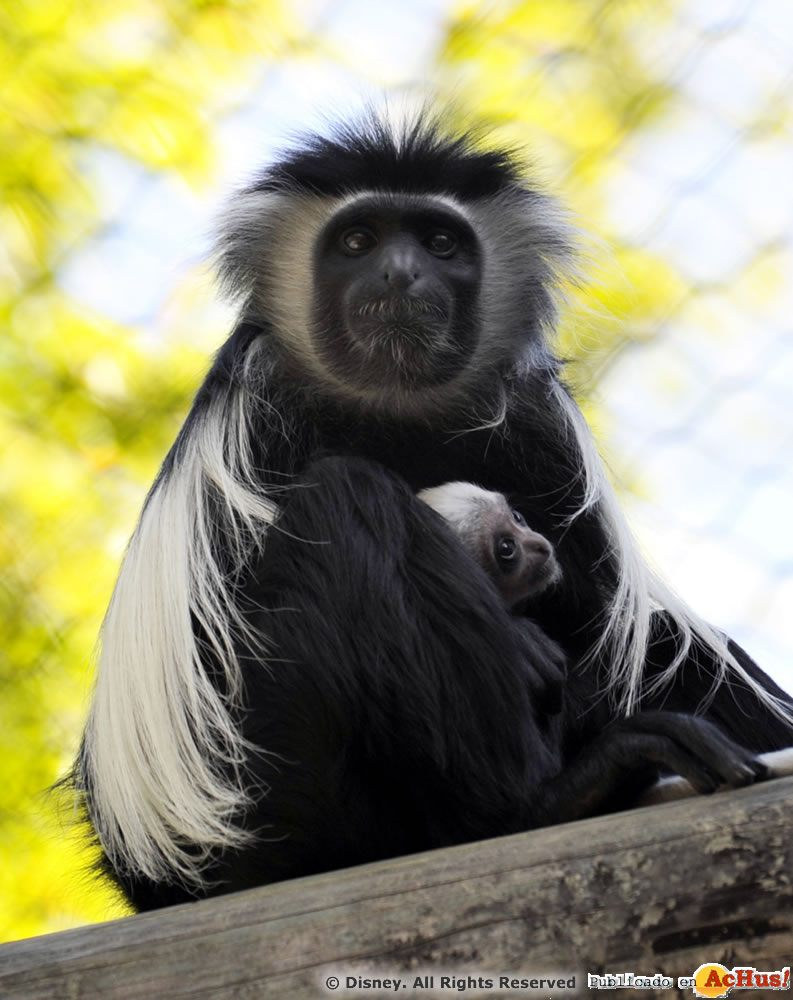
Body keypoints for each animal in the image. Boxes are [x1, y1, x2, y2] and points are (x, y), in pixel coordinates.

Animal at [74, 109, 792, 908]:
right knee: (343, 500)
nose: (399, 272)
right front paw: (523, 649)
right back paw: (544, 802)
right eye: (359, 241)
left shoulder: (541, 429)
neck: (393, 405)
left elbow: (621, 622)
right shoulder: (257, 412)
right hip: (269, 792)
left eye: (439, 243)